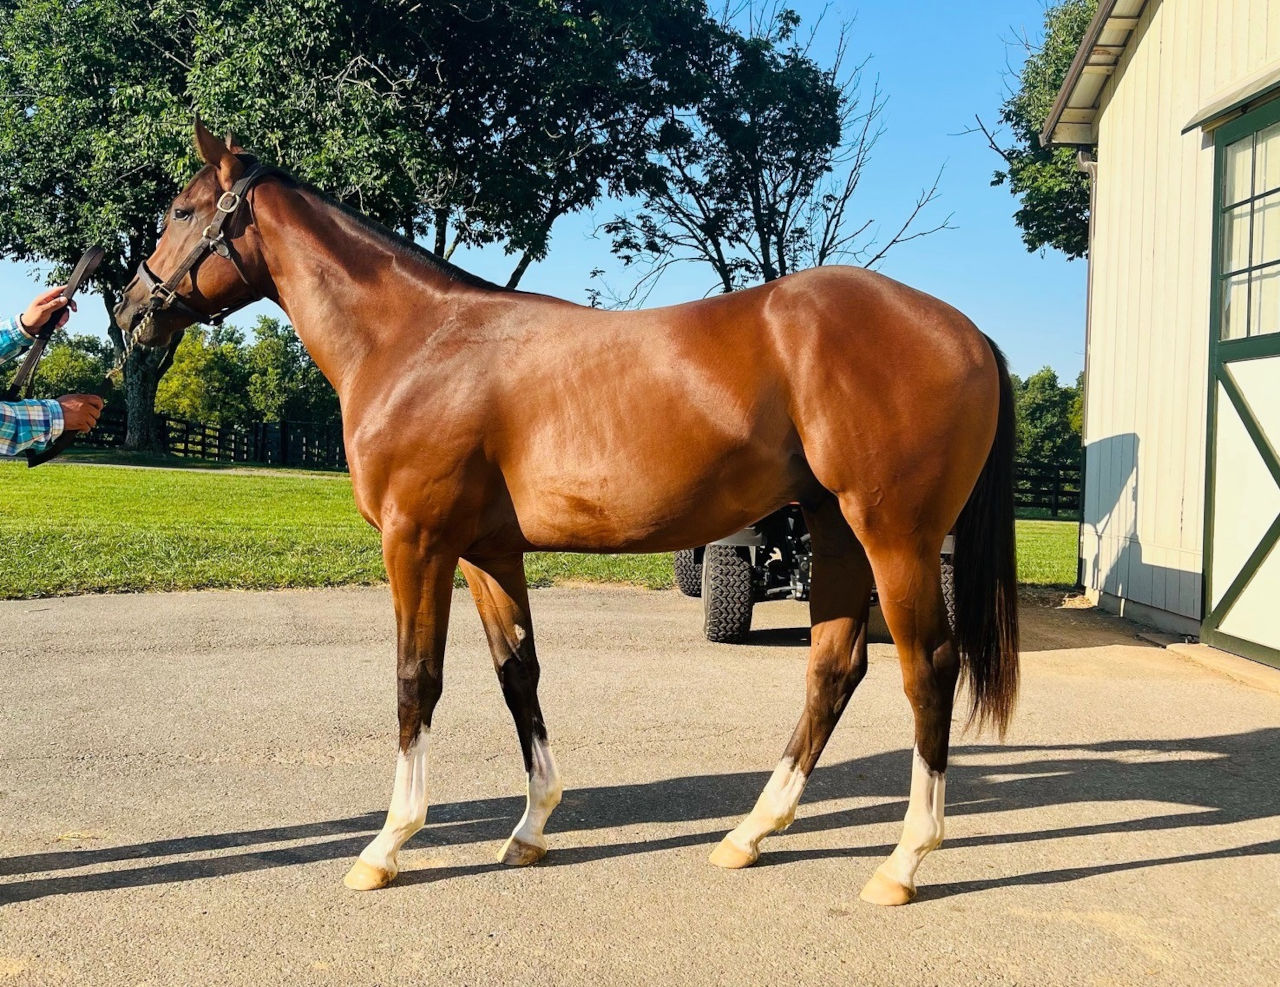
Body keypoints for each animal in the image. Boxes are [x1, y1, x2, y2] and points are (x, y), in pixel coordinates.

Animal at [115, 125, 1013, 911]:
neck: (419, 342)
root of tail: (967, 331)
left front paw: (387, 844)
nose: (128, 309)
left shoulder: (417, 542)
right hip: (834, 529)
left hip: (894, 536)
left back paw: (903, 860)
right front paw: (531, 827)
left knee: (928, 667)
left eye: (183, 211)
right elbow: (519, 672)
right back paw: (751, 832)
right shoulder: (486, 552)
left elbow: (416, 678)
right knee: (832, 667)